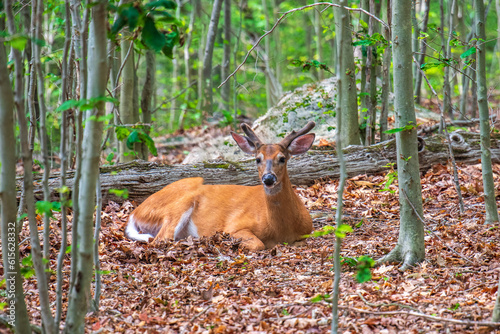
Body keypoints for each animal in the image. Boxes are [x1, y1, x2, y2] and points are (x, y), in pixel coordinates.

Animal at [124, 121, 316, 249]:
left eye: (282, 158)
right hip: (176, 206)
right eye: (257, 159)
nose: (268, 178)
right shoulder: (234, 226)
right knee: (159, 240)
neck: (281, 230)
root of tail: (136, 212)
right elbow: (258, 244)